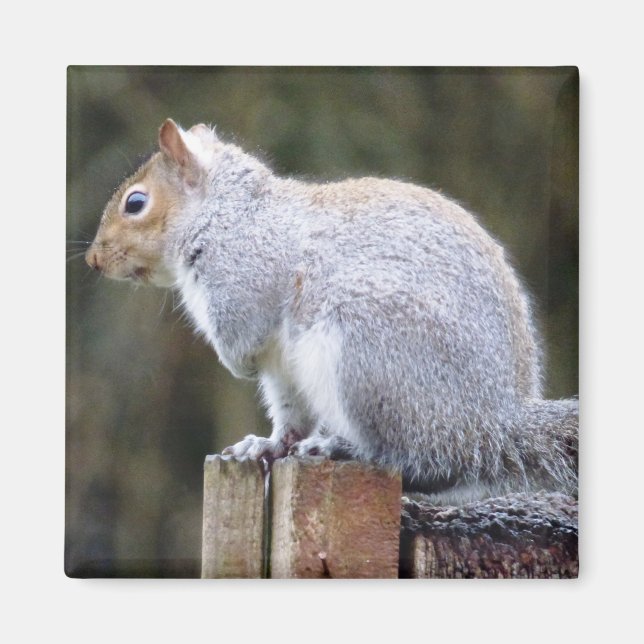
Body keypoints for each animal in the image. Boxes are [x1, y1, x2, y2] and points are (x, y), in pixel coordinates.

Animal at [86, 118, 578, 504]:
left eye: (135, 202)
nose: (93, 259)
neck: (229, 215)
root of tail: (492, 422)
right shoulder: (278, 360)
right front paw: (262, 441)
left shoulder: (246, 279)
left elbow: (242, 332)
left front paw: (236, 364)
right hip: (301, 376)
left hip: (368, 355)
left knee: (418, 458)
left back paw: (340, 449)